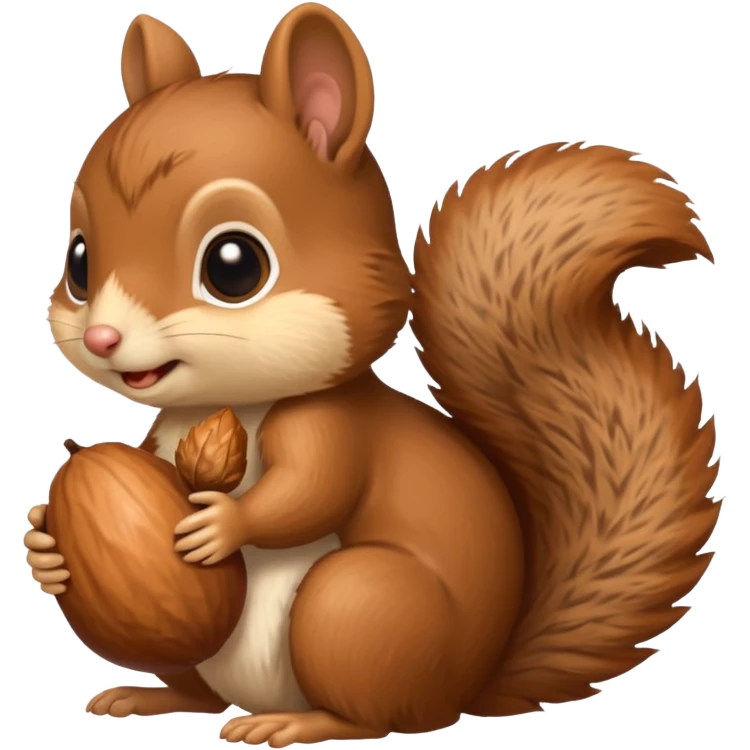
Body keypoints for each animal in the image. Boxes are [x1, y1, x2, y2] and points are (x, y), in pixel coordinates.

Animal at [26, 4, 721, 745]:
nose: (102, 338)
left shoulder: (332, 425)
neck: (232, 403)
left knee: (373, 714)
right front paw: (42, 541)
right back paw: (152, 695)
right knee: (202, 694)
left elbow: (313, 491)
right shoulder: (162, 435)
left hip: (358, 607)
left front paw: (223, 525)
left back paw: (297, 723)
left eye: (234, 265)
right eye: (79, 261)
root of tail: (468, 686)